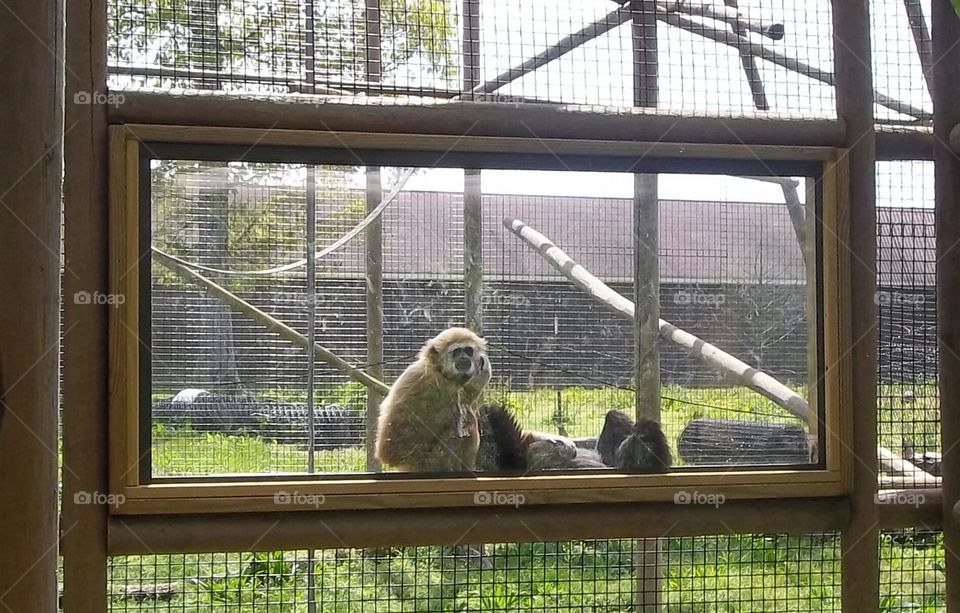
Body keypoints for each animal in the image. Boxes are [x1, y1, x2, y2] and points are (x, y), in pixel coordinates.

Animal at [375, 327, 491, 473]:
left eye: (468, 350)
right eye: (456, 352)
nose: (464, 357)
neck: (438, 369)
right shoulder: (442, 386)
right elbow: (388, 449)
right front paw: (478, 381)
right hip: (432, 463)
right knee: (466, 419)